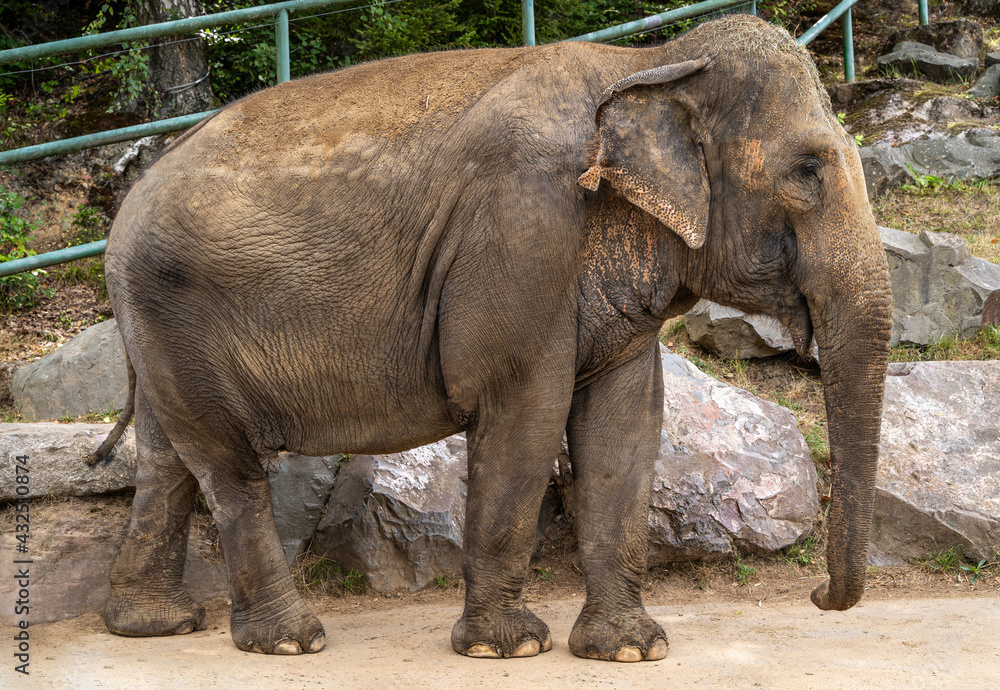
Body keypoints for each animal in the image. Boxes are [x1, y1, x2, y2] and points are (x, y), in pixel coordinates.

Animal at [90, 14, 891, 661]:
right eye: (806, 170)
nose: (820, 597)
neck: (650, 58)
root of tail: (125, 206)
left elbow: (626, 425)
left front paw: (630, 650)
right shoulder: (521, 229)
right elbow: (523, 412)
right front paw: (506, 648)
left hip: (160, 329)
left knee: (166, 458)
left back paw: (153, 625)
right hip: (176, 311)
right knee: (227, 464)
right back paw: (291, 641)